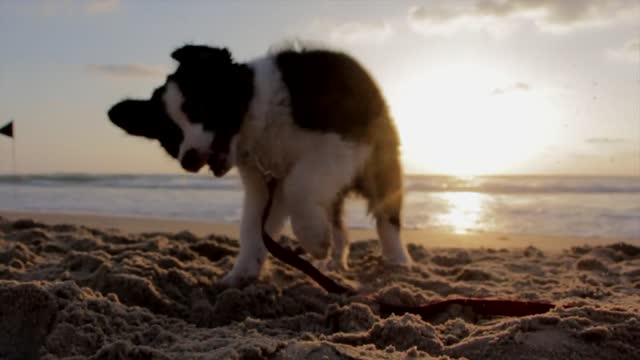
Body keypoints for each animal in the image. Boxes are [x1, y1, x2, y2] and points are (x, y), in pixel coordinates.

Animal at [107, 44, 412, 284]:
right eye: (171, 137)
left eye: (199, 109)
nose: (188, 159)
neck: (259, 113)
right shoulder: (264, 183)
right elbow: (252, 227)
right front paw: (241, 274)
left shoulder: (340, 144)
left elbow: (298, 186)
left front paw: (313, 238)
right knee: (337, 219)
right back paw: (336, 260)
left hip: (378, 160)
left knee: (385, 214)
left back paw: (397, 259)